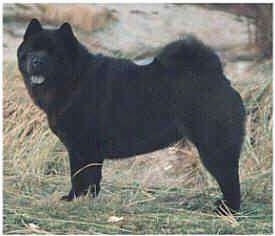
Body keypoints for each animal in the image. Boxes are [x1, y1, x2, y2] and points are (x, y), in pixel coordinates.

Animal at [17, 18, 246, 212]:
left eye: (54, 53)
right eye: (31, 50)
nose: (37, 60)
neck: (74, 80)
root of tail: (221, 79)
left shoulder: (82, 147)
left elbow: (80, 176)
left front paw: (74, 198)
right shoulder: (87, 151)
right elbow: (91, 178)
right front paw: (87, 198)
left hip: (214, 147)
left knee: (229, 179)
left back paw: (227, 209)